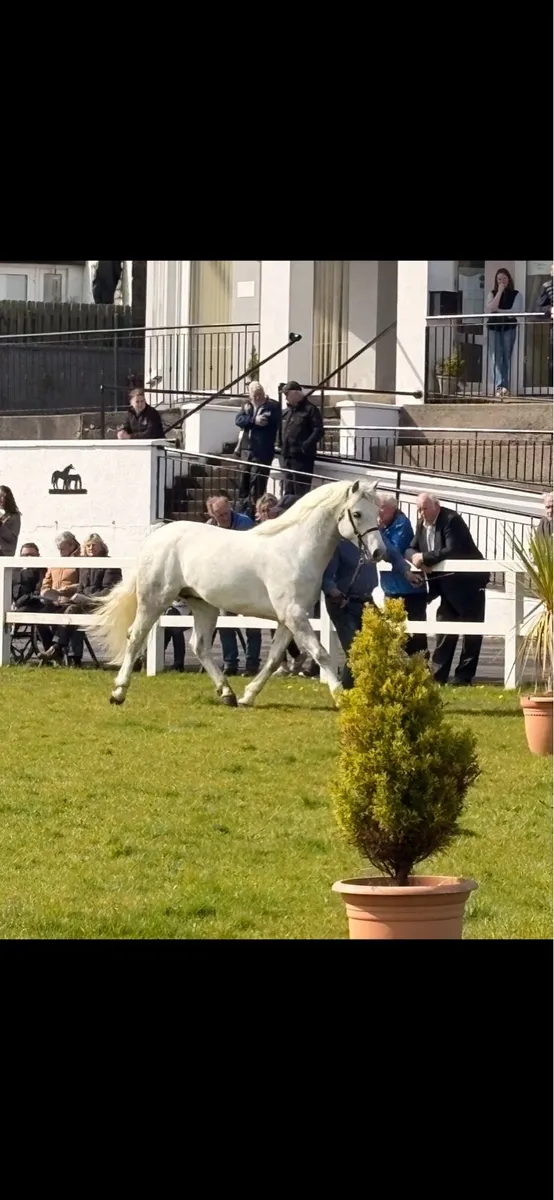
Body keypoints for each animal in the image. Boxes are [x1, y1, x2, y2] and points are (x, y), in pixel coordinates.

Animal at [92, 478, 386, 710]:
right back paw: (118, 693)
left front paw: (248, 696)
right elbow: (321, 653)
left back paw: (227, 694)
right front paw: (341, 697)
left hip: (203, 605)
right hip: (154, 600)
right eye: (357, 514)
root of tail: (155, 536)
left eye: (378, 513)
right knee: (135, 637)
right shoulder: (294, 616)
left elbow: (274, 659)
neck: (294, 550)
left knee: (199, 646)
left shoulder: (288, 619)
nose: (378, 553)